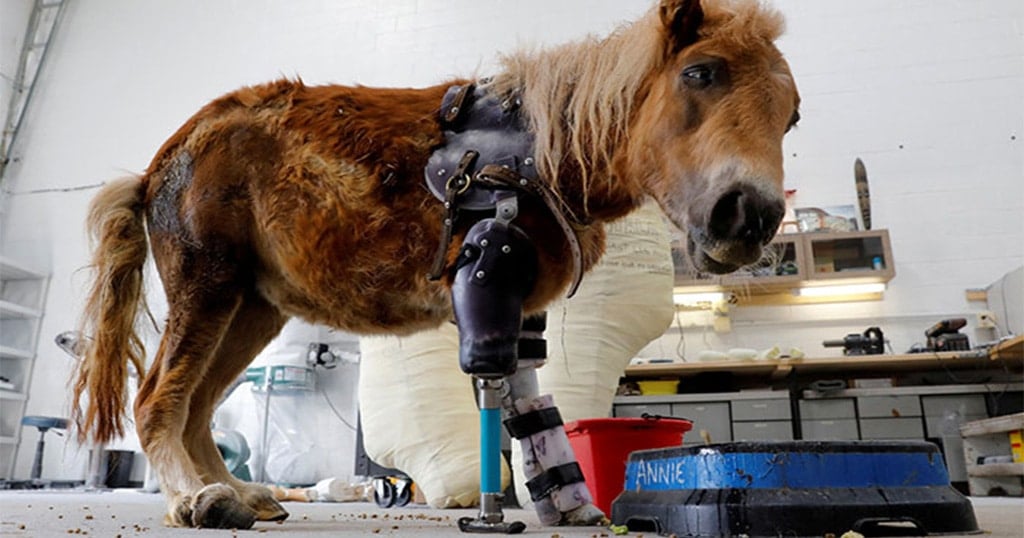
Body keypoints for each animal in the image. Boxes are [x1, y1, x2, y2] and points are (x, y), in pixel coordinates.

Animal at [70, 0, 798, 528]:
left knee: (196, 405)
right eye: (700, 73)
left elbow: (528, 407)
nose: (749, 217)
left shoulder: (520, 309)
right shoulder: (489, 281)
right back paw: (195, 500)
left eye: (790, 116)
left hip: (252, 307)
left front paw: (569, 506)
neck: (545, 148)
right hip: (207, 285)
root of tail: (160, 164)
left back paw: (237, 493)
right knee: (158, 397)